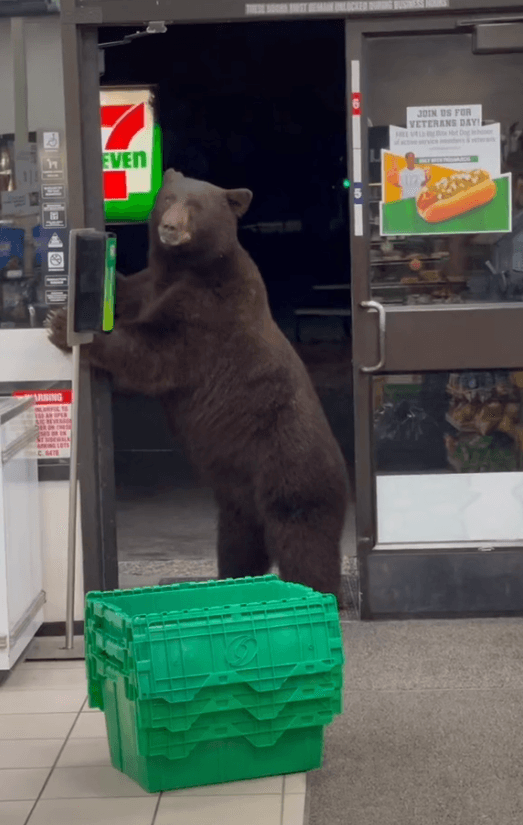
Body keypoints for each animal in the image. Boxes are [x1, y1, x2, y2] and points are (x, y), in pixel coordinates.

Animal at [48, 169, 349, 602]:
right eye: (168, 197)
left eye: (195, 206)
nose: (170, 227)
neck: (186, 267)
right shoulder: (152, 286)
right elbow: (129, 290)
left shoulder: (208, 313)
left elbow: (154, 353)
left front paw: (64, 327)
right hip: (240, 502)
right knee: (238, 544)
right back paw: (232, 581)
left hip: (292, 473)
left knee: (304, 544)